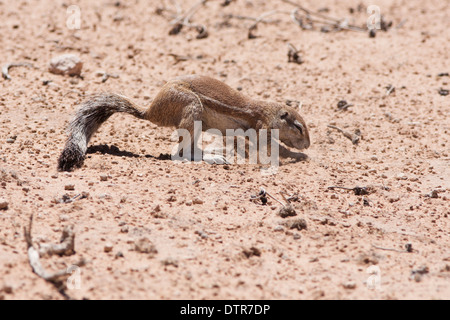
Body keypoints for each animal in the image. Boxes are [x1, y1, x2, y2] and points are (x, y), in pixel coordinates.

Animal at [57, 75, 310, 171]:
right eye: (298, 127)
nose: (307, 144)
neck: (269, 112)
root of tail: (152, 111)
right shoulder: (262, 129)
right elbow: (269, 148)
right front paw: (292, 156)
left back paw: (213, 152)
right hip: (192, 108)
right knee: (181, 153)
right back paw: (210, 158)